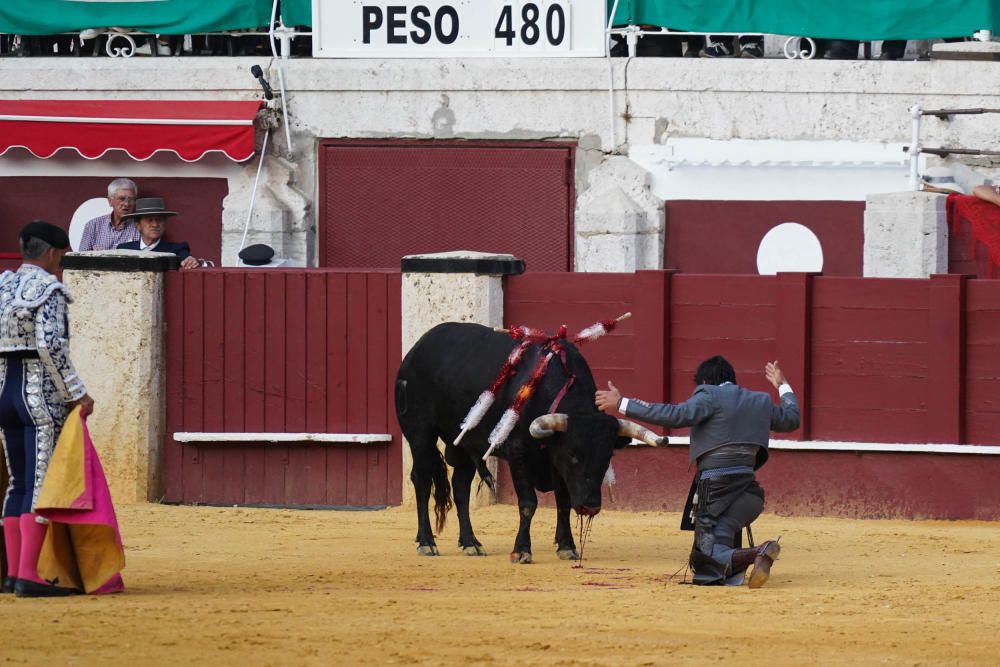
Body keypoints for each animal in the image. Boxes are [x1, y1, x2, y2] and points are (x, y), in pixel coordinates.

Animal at [394, 324, 660, 564]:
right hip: (420, 434)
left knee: (460, 487)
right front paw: (521, 550)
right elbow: (528, 503)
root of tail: (416, 349)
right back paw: (427, 542)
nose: (590, 506)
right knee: (422, 479)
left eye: (607, 458)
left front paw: (567, 547)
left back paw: (471, 543)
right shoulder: (518, 454)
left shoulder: (554, 461)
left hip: (463, 443)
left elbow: (563, 502)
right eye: (574, 454)